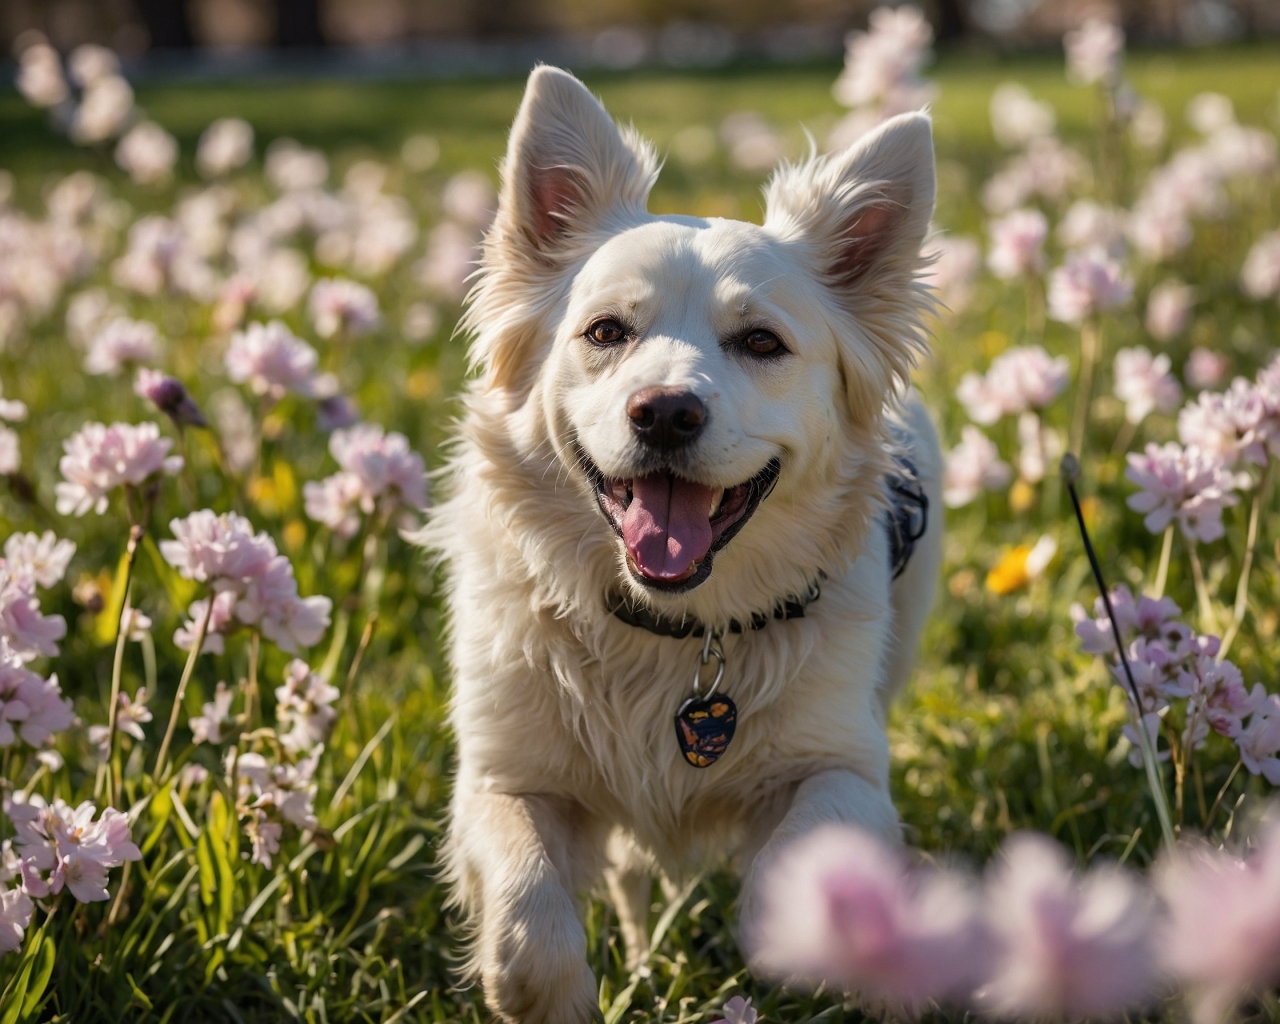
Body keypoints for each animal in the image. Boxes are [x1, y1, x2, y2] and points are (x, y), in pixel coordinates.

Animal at [424, 65, 947, 1024]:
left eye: (762, 343)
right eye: (605, 332)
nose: (665, 411)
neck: (671, 631)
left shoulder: (847, 768)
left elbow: (793, 856)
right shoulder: (503, 777)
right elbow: (527, 914)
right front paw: (550, 996)